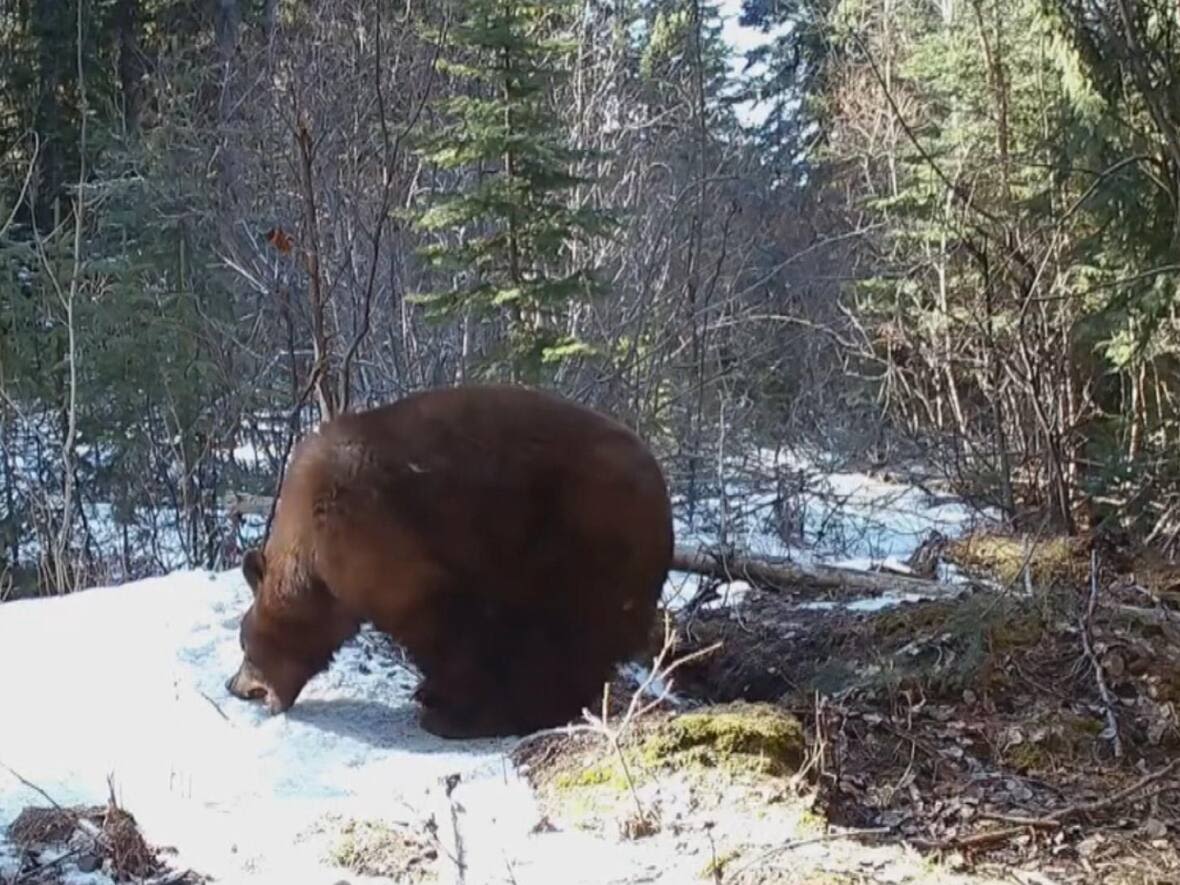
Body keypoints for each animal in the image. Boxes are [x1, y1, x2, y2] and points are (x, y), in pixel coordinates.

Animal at [224, 384, 674, 736]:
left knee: (565, 631)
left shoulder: (379, 541)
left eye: (244, 642)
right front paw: (434, 693)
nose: (232, 684)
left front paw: (453, 705)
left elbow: (444, 627)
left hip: (582, 537)